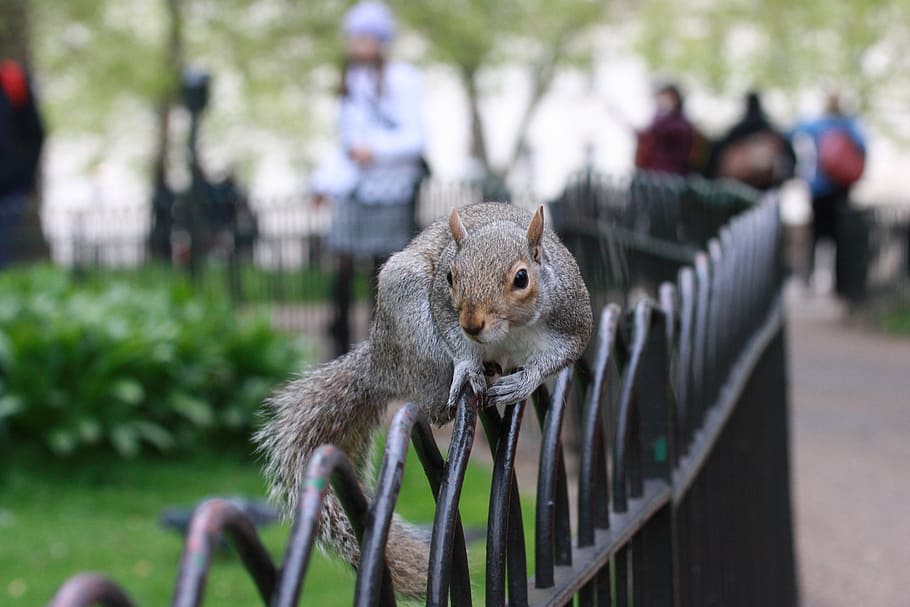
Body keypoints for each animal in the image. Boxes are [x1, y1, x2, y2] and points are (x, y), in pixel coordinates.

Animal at [255, 202, 593, 597]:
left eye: (521, 279)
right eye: (450, 276)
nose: (472, 323)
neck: (512, 329)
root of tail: (380, 362)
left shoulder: (572, 320)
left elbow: (557, 358)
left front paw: (525, 381)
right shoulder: (443, 307)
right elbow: (455, 337)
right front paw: (468, 368)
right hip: (415, 324)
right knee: (433, 408)